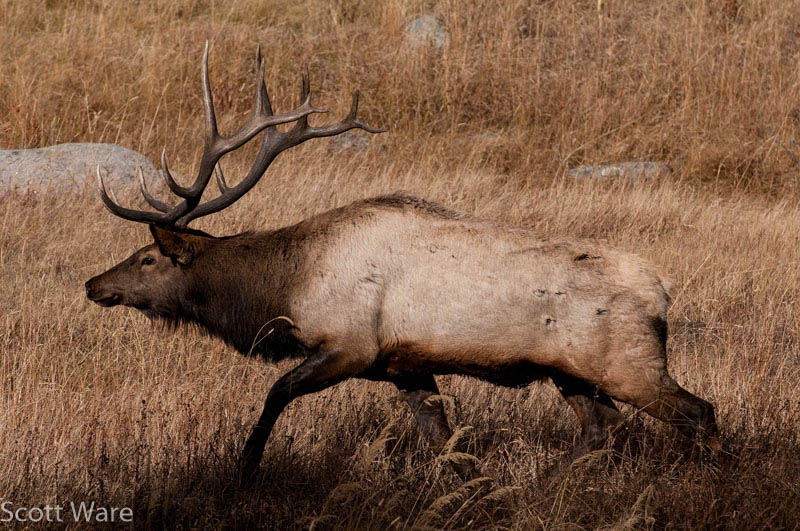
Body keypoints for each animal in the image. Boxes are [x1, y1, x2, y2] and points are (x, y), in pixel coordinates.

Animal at [85, 43, 719, 480]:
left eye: (147, 258)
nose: (94, 284)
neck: (281, 292)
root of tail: (663, 291)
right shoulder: (404, 364)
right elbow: (444, 439)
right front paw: (476, 488)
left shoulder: (350, 345)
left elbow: (275, 396)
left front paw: (243, 473)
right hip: (572, 372)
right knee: (602, 428)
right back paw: (548, 485)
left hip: (629, 363)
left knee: (700, 413)